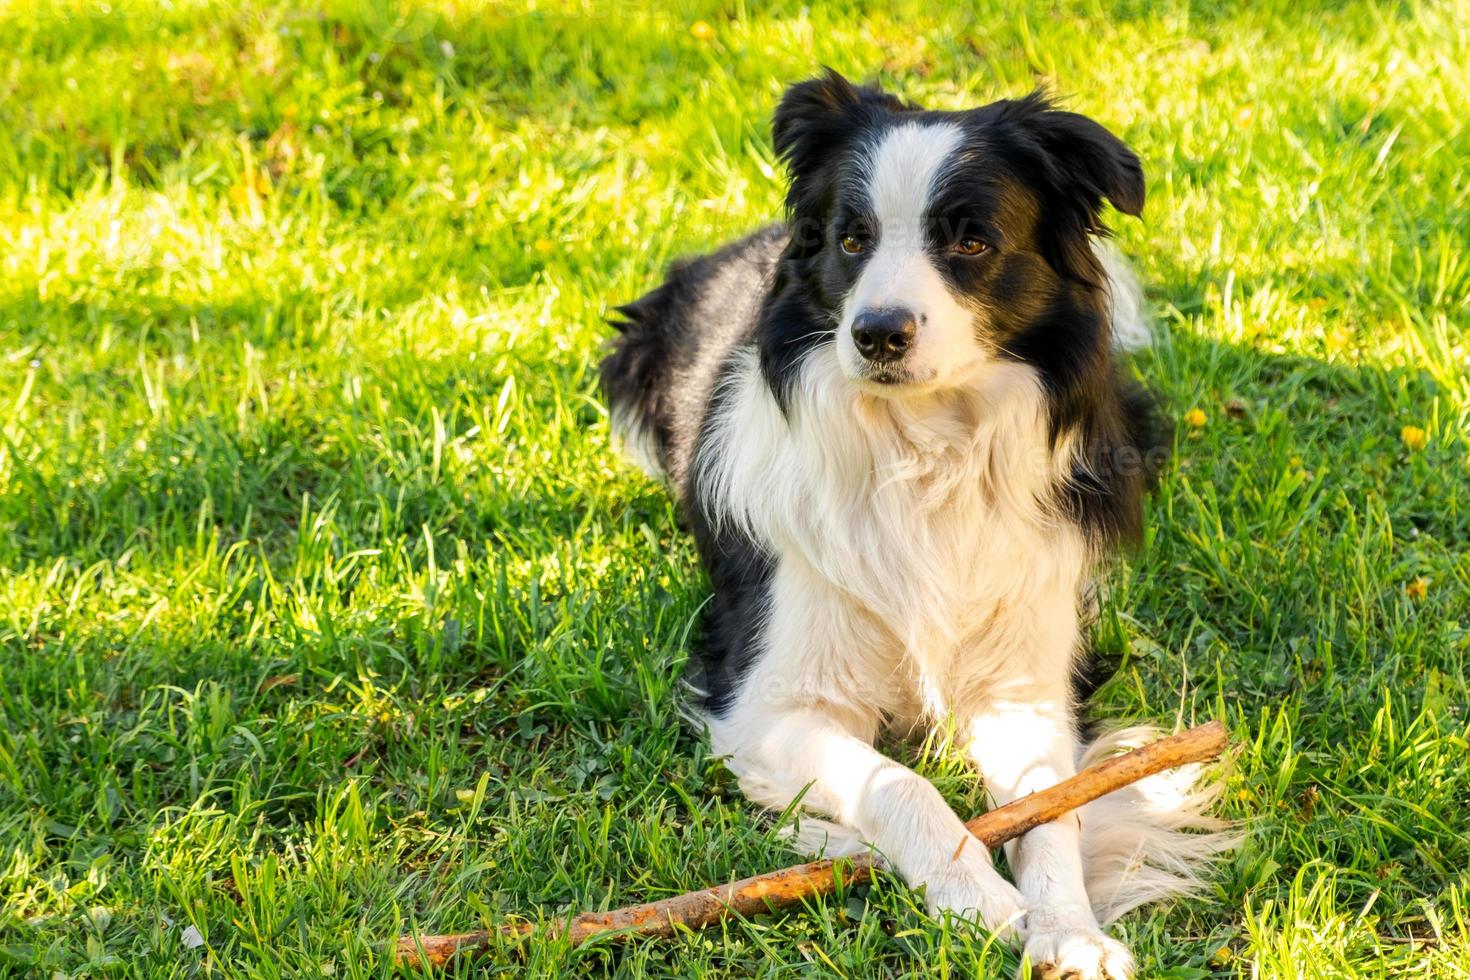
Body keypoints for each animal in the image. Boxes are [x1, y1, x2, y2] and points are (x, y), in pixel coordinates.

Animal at [596, 72, 1228, 975]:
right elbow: (900, 783)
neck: (924, 450)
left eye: (971, 242)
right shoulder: (768, 702)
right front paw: (979, 898)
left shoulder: (1024, 682)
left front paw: (1069, 927)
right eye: (852, 239)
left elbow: (1050, 804)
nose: (876, 333)